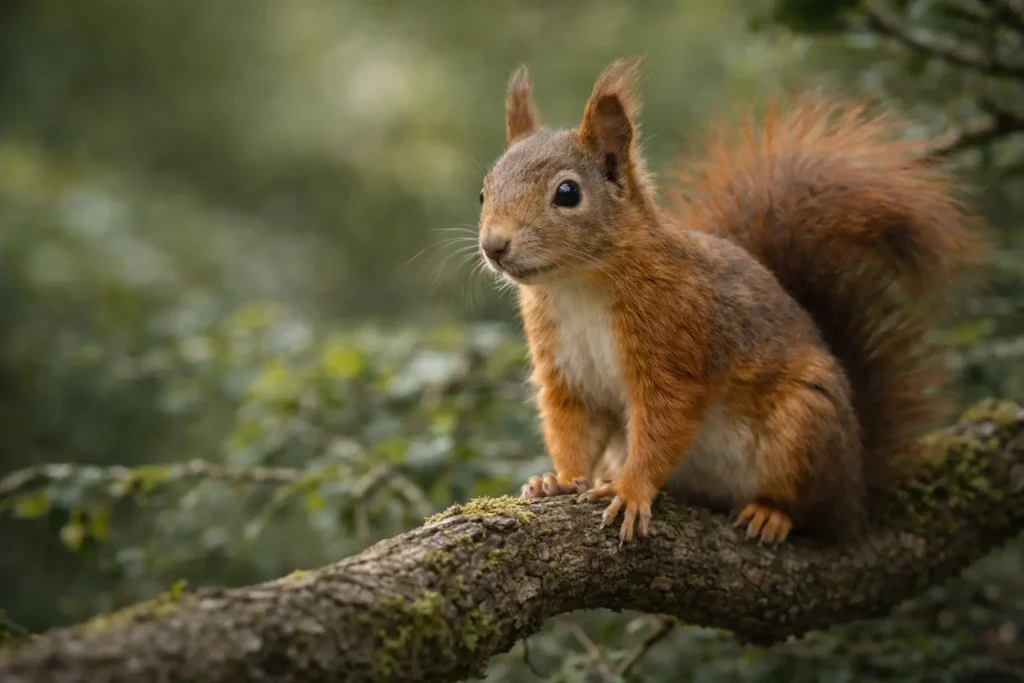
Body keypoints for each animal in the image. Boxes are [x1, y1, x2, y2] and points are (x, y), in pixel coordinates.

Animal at [475, 57, 983, 544]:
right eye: (483, 191)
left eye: (568, 193)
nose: (493, 246)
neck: (578, 285)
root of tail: (858, 481)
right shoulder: (567, 373)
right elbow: (573, 428)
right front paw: (559, 480)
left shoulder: (677, 341)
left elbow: (663, 425)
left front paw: (630, 490)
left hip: (805, 424)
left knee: (817, 515)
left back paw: (772, 514)